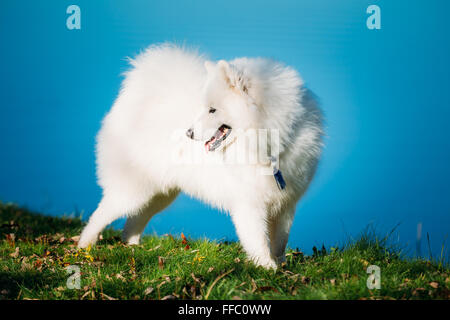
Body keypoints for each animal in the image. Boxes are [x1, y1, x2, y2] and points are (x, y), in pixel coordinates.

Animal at [78, 42, 324, 268]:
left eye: (212, 109)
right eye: (205, 108)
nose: (189, 133)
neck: (267, 146)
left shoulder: (286, 203)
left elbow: (280, 241)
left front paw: (282, 267)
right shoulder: (250, 204)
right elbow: (259, 241)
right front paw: (267, 268)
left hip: (158, 193)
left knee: (133, 221)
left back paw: (132, 248)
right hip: (133, 189)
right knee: (99, 216)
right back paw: (84, 248)